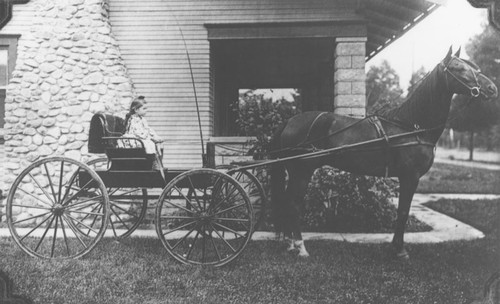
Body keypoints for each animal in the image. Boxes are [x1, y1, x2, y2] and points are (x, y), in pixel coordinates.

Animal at [272, 47, 498, 258]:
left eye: (474, 66)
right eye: (458, 68)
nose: (492, 88)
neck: (411, 126)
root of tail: (289, 121)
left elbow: (402, 211)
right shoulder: (410, 176)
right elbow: (403, 211)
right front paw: (399, 250)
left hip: (294, 172)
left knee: (286, 201)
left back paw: (290, 244)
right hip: (302, 172)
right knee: (293, 204)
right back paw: (300, 247)